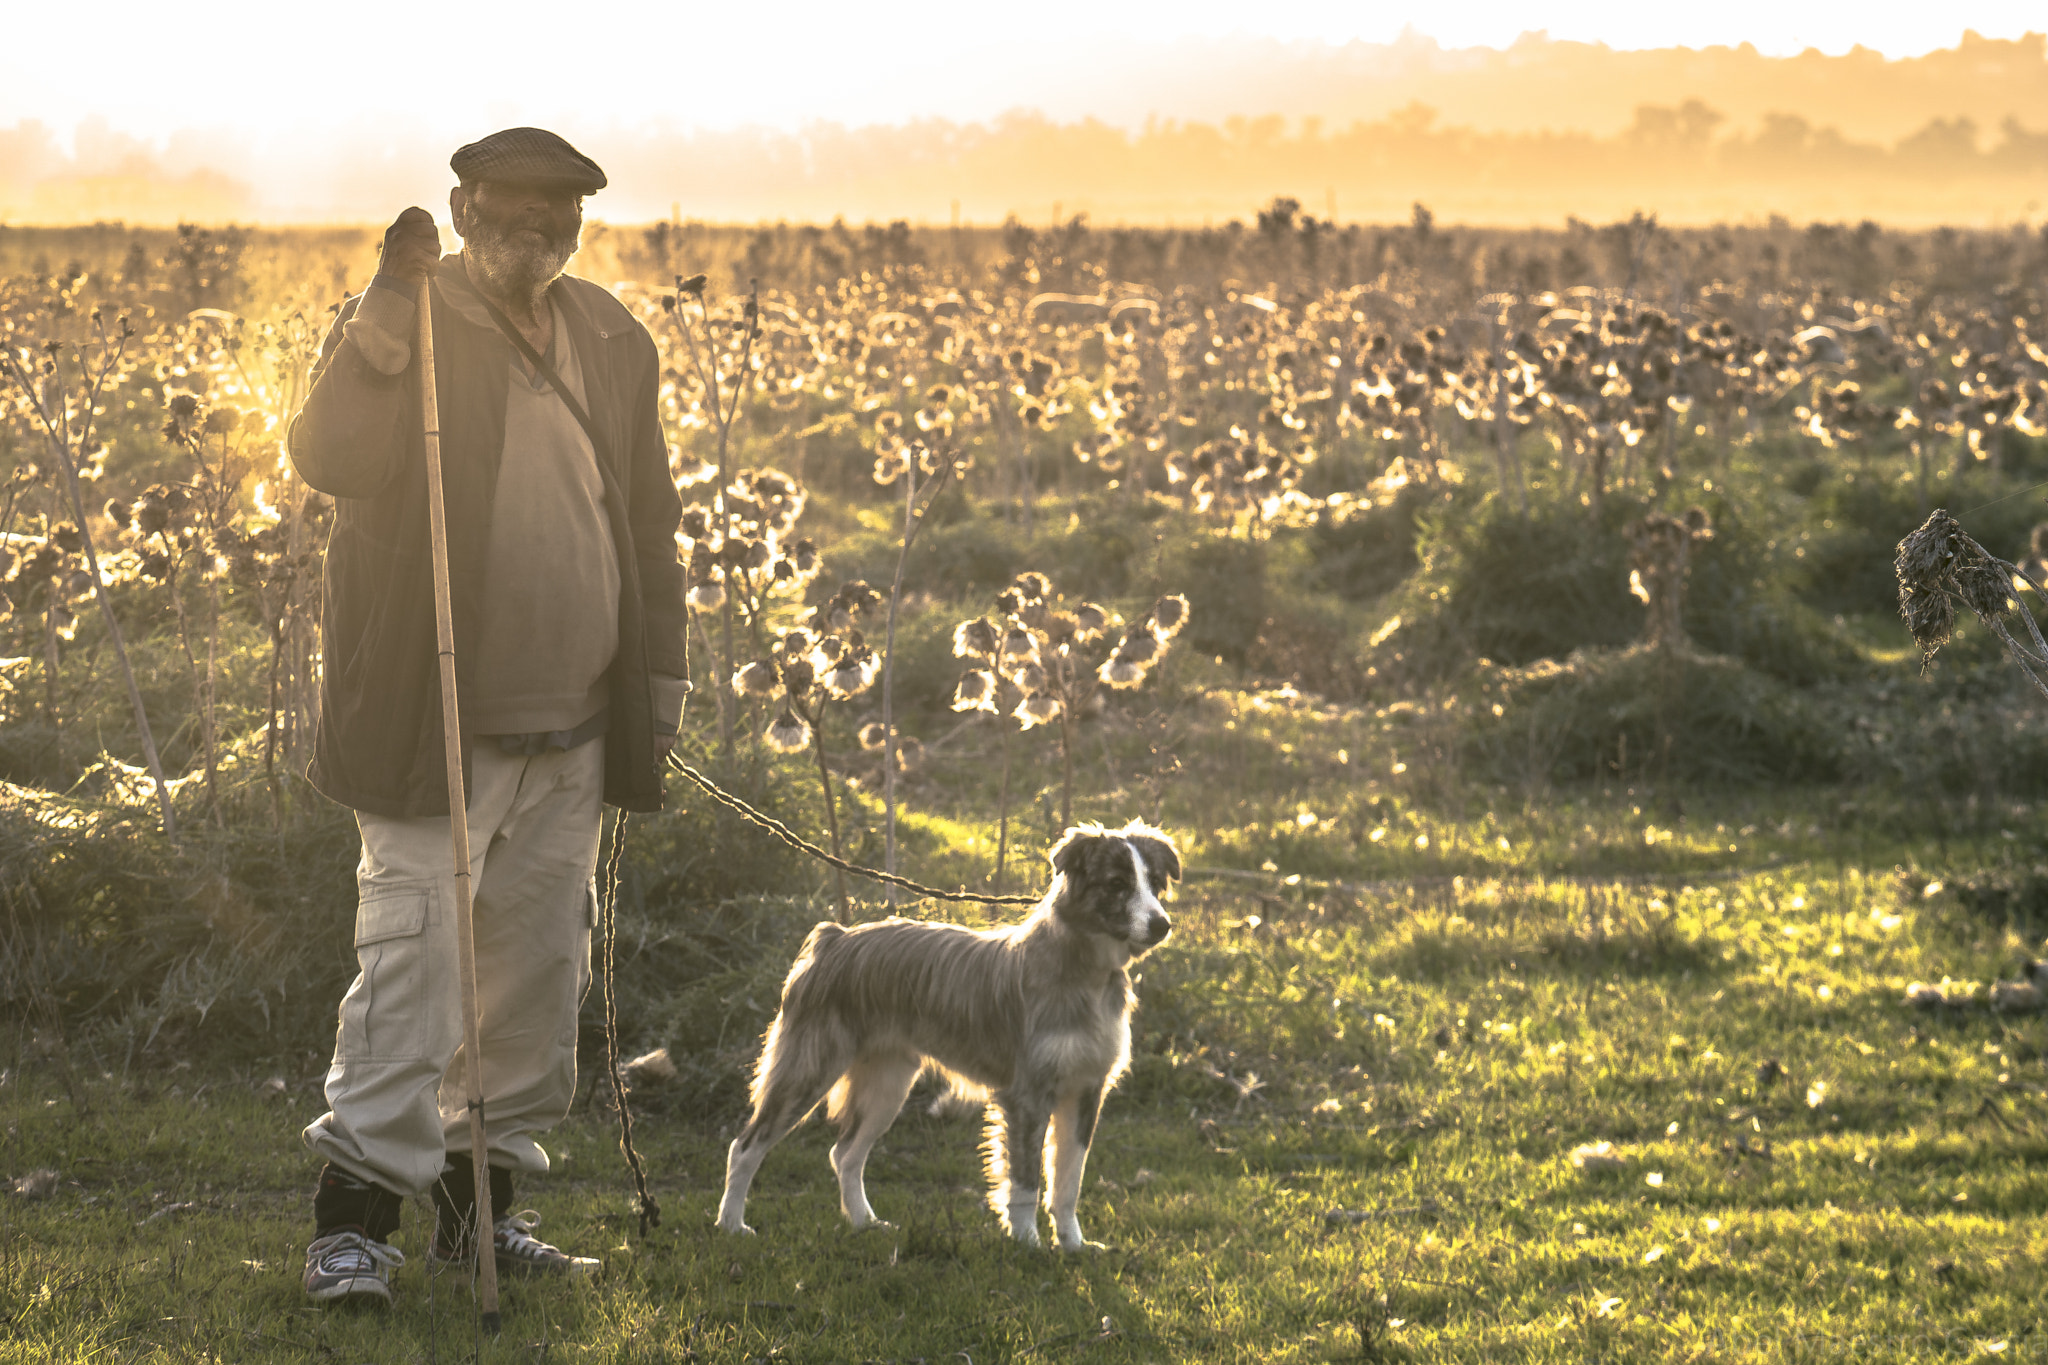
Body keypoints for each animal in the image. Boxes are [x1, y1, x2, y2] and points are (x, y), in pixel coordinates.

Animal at [716, 818, 1187, 1252]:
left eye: (1154, 883)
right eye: (1117, 884)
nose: (1162, 925)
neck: (1084, 972)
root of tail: (836, 938)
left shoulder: (1086, 1091)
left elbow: (1067, 1182)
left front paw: (1073, 1246)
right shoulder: (1028, 1095)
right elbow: (1025, 1181)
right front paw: (1027, 1244)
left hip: (888, 1086)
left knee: (845, 1154)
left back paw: (864, 1223)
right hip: (808, 1071)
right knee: (746, 1146)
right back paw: (731, 1225)